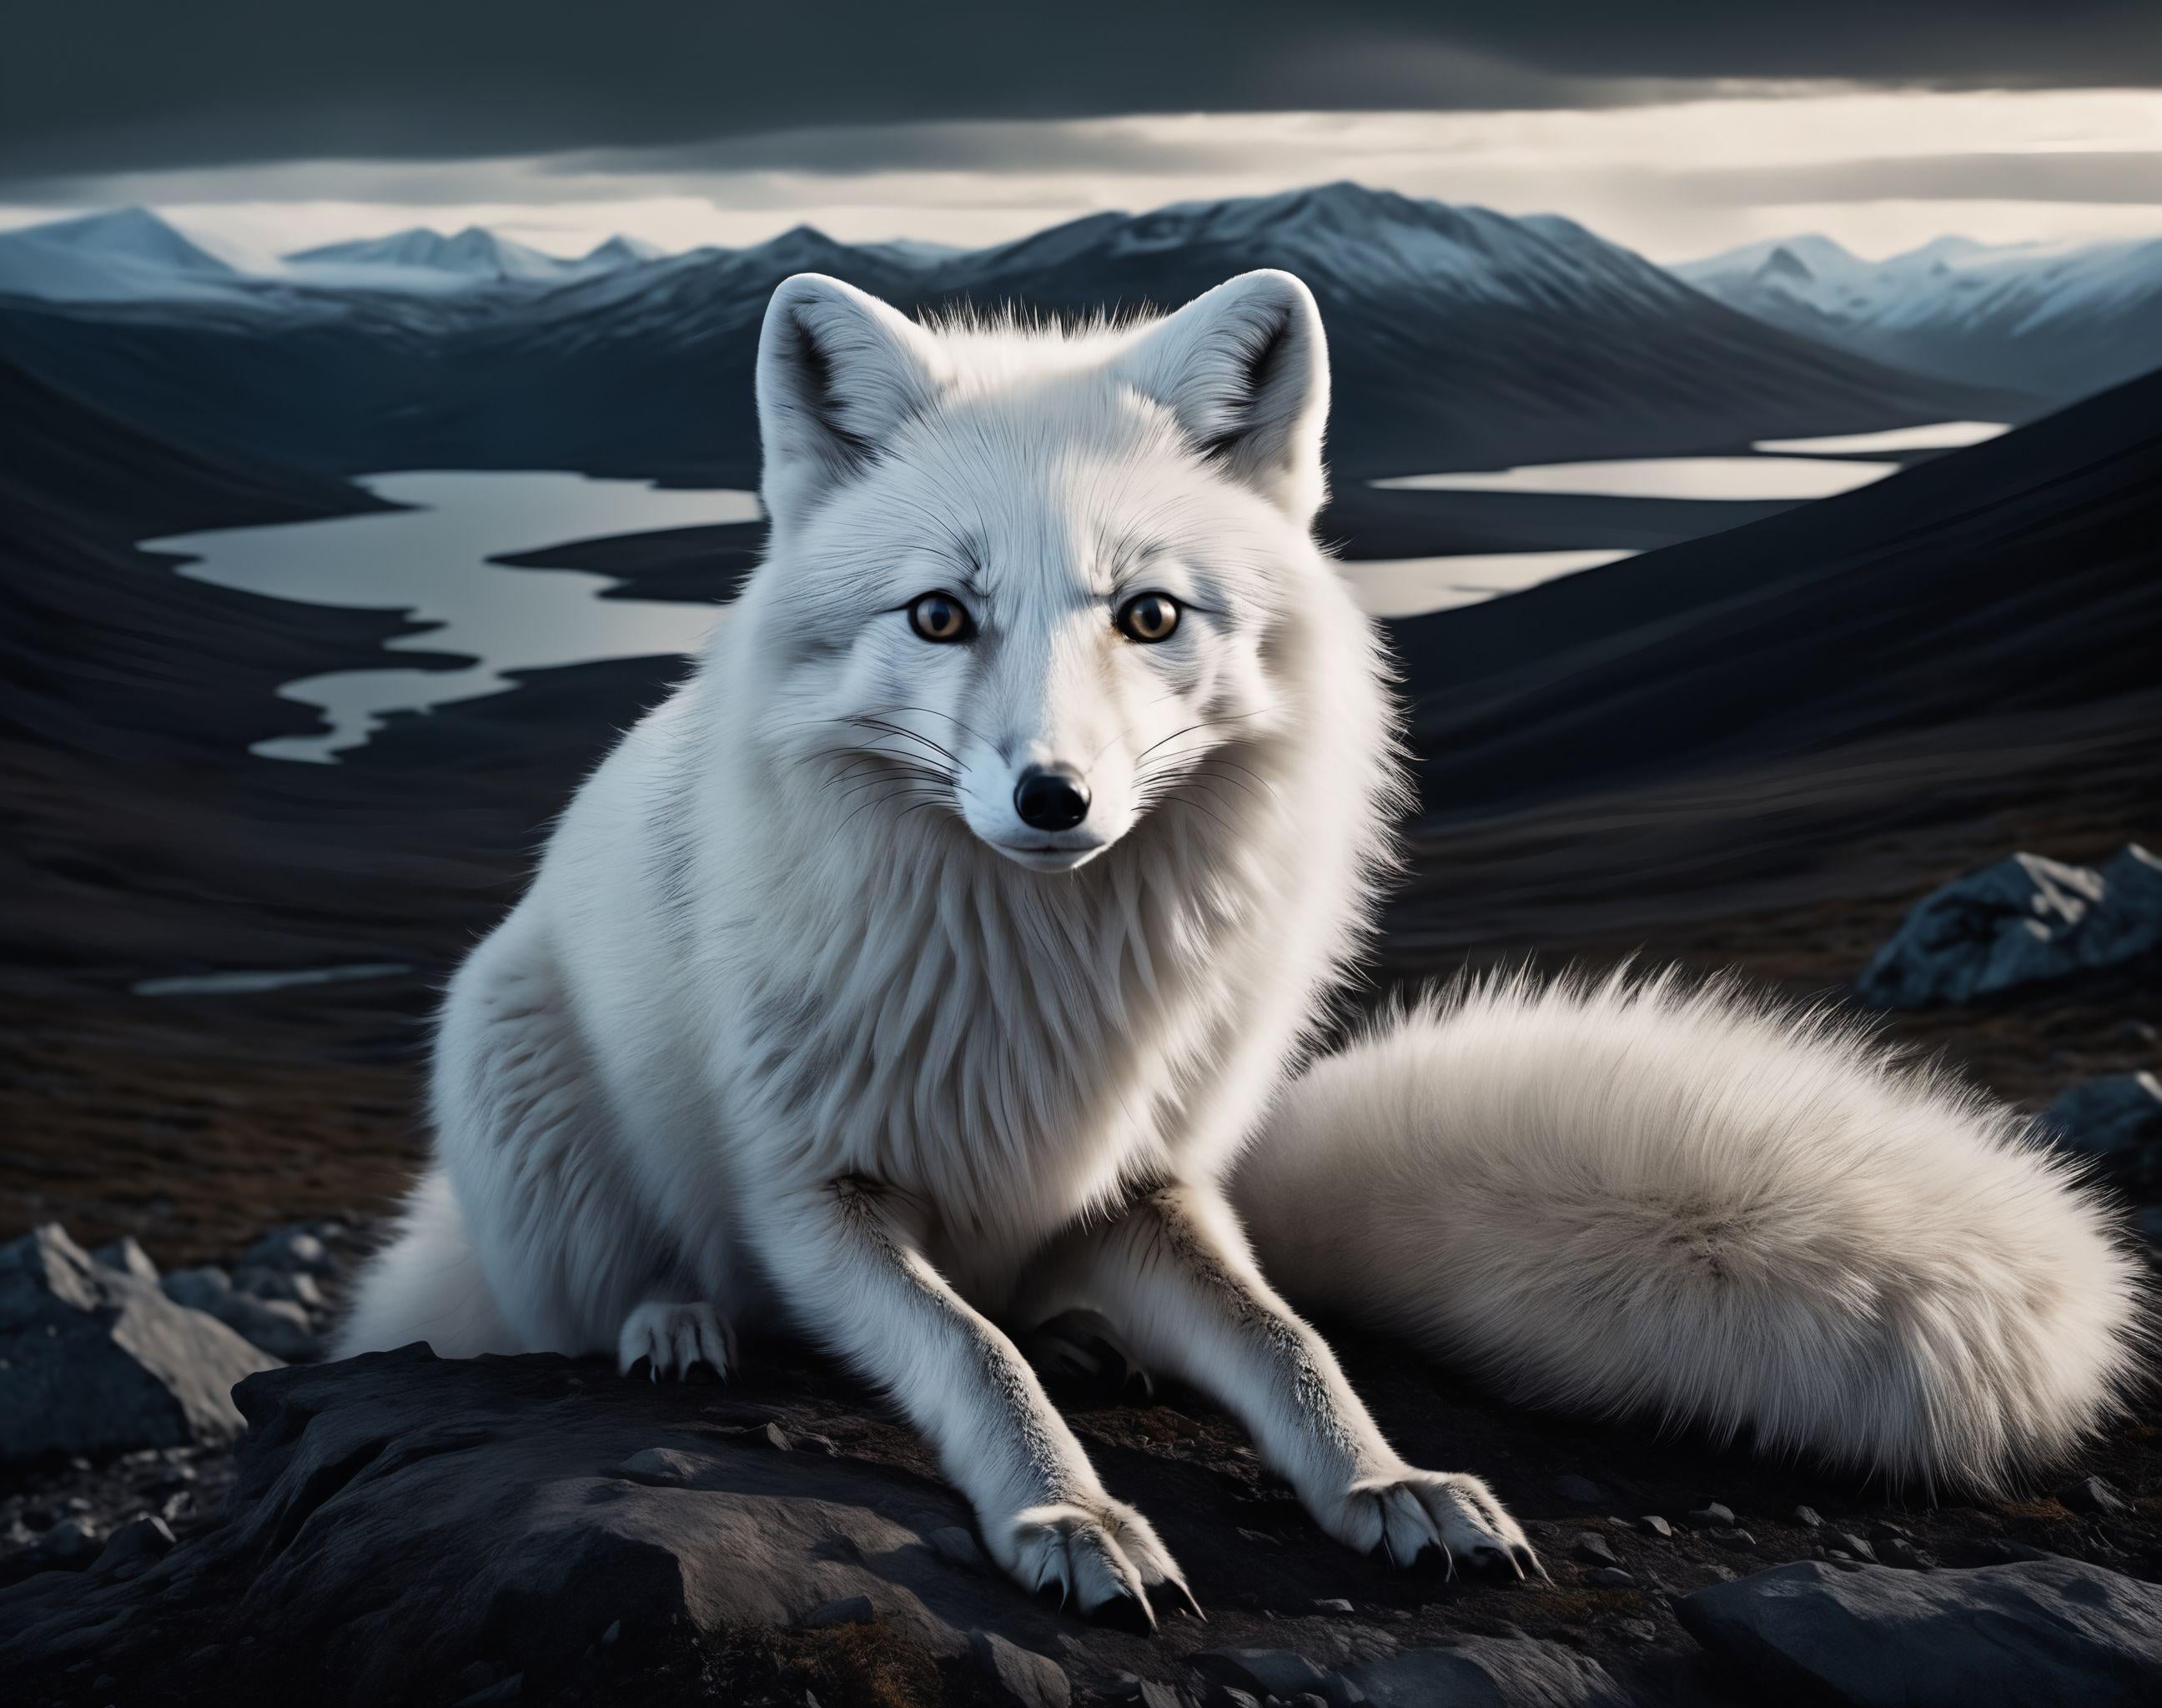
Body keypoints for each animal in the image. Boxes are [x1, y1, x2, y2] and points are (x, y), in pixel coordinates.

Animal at [342, 267, 2143, 1623]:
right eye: (940, 615)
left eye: (1148, 614)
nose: (1053, 796)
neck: (1045, 980)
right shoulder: (815, 1196)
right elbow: (970, 1352)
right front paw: (1069, 1518)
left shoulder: (1153, 1174)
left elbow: (1290, 1344)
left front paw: (1391, 1483)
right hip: (509, 1064)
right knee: (587, 1295)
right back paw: (671, 1325)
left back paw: (1092, 1336)